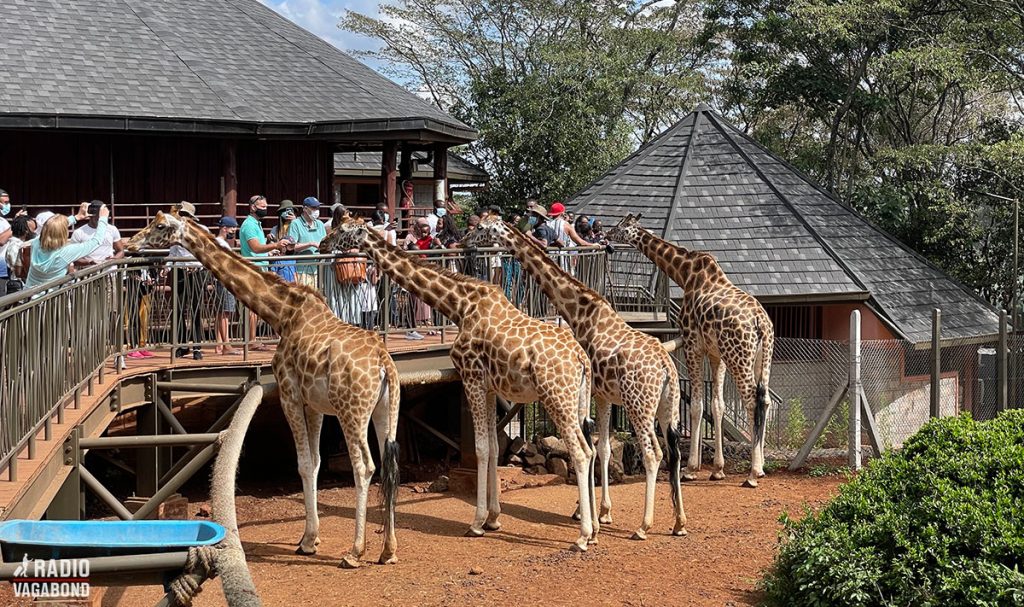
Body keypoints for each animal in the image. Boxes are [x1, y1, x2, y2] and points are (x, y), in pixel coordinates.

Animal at [124, 210, 399, 565]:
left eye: (159, 226)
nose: (129, 244)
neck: (282, 313)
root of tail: (384, 362)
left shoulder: (288, 393)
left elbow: (304, 464)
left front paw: (308, 541)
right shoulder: (314, 404)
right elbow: (316, 462)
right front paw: (311, 538)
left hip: (352, 410)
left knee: (365, 465)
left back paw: (355, 551)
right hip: (385, 409)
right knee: (390, 464)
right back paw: (388, 550)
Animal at [321, 218, 598, 548]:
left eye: (342, 230)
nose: (322, 244)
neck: (460, 305)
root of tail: (581, 359)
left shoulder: (470, 376)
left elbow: (480, 448)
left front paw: (476, 523)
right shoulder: (489, 387)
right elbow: (494, 445)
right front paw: (493, 518)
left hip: (556, 396)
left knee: (581, 451)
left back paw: (583, 536)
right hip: (579, 398)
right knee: (591, 447)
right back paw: (593, 526)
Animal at [466, 219, 688, 540]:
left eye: (483, 228)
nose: (468, 240)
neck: (580, 311)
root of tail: (665, 365)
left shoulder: (590, 393)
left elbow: (589, 449)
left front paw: (586, 514)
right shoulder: (604, 395)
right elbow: (603, 449)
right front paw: (601, 513)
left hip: (639, 404)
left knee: (653, 453)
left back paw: (643, 526)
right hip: (667, 405)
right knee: (674, 451)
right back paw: (679, 522)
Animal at [602, 212, 770, 487]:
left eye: (620, 227)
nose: (606, 235)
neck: (685, 273)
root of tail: (761, 322)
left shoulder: (692, 344)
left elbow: (697, 406)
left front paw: (690, 469)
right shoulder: (715, 353)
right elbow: (718, 405)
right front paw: (718, 469)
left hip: (739, 356)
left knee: (752, 401)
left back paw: (753, 473)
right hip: (761, 358)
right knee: (765, 400)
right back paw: (762, 465)